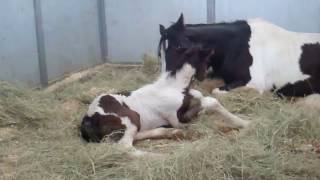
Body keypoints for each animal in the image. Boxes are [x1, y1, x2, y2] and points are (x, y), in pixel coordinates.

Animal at [158, 14, 320, 97]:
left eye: (179, 46)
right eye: (161, 52)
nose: (165, 81)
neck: (236, 46)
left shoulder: (254, 83)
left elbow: (216, 91)